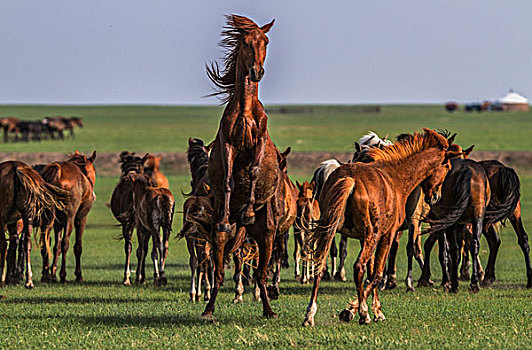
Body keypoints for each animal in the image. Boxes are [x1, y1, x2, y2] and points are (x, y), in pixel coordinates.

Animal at [39, 152, 96, 284]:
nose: (94, 195)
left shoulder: (58, 222)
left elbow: (56, 247)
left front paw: (53, 274)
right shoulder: (81, 218)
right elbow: (77, 247)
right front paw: (78, 275)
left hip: (47, 217)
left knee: (45, 242)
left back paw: (46, 275)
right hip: (70, 217)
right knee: (66, 243)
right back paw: (63, 275)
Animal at [203, 15, 280, 318]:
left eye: (266, 41)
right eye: (246, 43)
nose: (257, 72)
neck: (246, 109)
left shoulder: (258, 141)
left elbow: (254, 171)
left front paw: (247, 210)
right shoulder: (228, 144)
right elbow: (228, 180)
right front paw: (228, 214)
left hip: (267, 235)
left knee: (260, 274)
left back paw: (269, 310)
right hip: (222, 239)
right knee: (218, 273)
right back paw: (208, 309)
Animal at [302, 130, 456, 326]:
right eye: (447, 167)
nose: (436, 197)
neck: (396, 176)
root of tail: (350, 178)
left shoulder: (363, 238)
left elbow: (372, 270)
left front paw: (376, 310)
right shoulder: (386, 235)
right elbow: (377, 273)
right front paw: (355, 311)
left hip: (329, 231)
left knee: (320, 265)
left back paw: (310, 314)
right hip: (371, 236)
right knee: (358, 266)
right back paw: (363, 313)